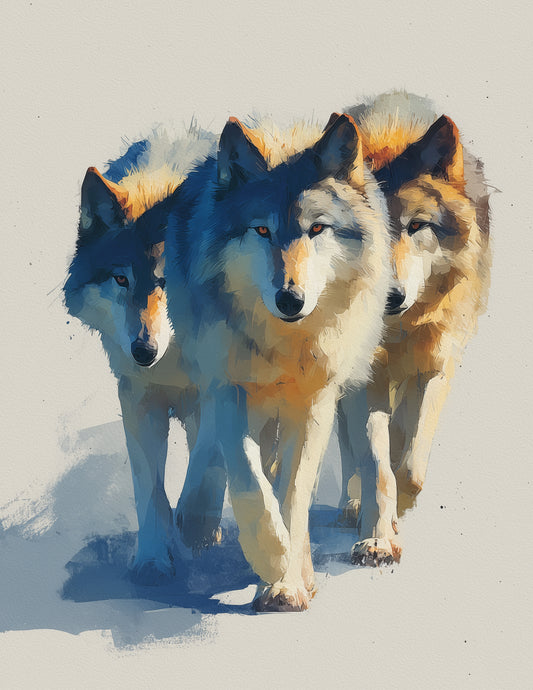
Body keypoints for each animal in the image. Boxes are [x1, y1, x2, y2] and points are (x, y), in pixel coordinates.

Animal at [64, 127, 223, 583]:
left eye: (168, 281)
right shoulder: (137, 396)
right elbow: (148, 487)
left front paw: (196, 527)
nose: (143, 350)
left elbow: (208, 460)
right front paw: (153, 559)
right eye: (121, 280)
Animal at [165, 113, 392, 610]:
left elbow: (294, 492)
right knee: (212, 450)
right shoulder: (230, 390)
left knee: (373, 465)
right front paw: (273, 561)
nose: (290, 299)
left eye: (317, 229)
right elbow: (251, 484)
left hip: (356, 385)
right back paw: (196, 518)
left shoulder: (315, 403)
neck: (286, 344)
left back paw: (370, 543)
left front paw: (288, 581)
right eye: (262, 230)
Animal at [337, 92, 491, 565]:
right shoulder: (361, 379)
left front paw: (397, 514)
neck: (397, 331)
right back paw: (352, 506)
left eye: (416, 225)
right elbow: (375, 465)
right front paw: (377, 539)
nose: (391, 297)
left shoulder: (436, 366)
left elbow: (407, 467)